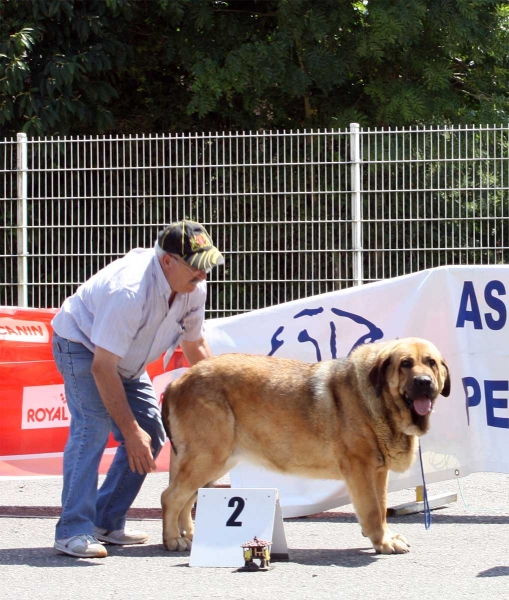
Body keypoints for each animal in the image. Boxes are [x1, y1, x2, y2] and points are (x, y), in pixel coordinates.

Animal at [162, 336, 448, 556]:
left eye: (431, 363)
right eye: (405, 364)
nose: (424, 382)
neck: (382, 401)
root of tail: (178, 382)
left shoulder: (378, 472)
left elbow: (382, 508)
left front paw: (384, 537)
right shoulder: (362, 470)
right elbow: (373, 511)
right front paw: (382, 542)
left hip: (212, 463)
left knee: (187, 499)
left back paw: (191, 535)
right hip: (207, 458)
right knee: (171, 497)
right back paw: (173, 539)